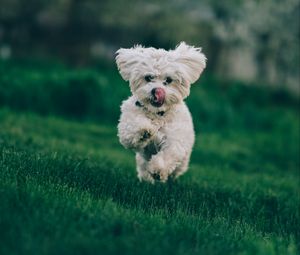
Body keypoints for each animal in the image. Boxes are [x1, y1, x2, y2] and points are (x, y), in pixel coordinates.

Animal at [116, 41, 206, 182]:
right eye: (148, 77)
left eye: (168, 80)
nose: (157, 90)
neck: (158, 114)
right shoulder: (127, 125)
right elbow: (131, 129)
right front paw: (144, 131)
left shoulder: (175, 139)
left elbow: (170, 153)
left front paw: (158, 169)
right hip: (142, 161)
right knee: (143, 169)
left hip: (182, 162)